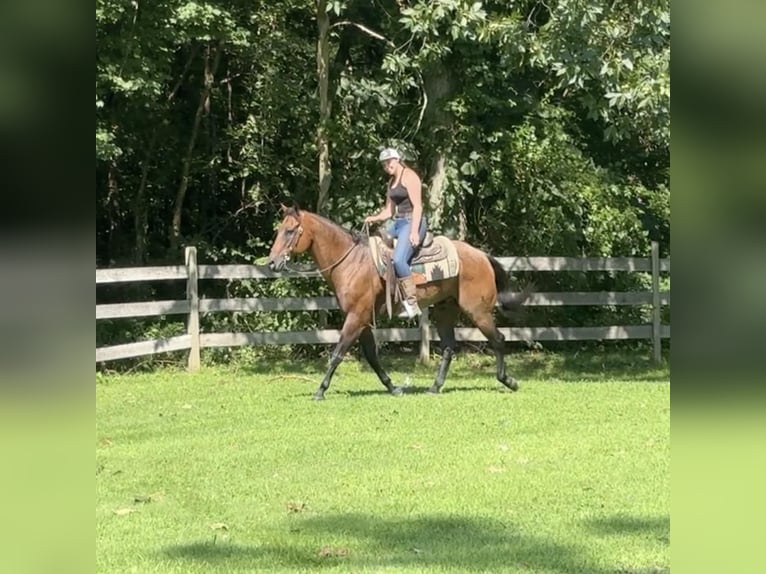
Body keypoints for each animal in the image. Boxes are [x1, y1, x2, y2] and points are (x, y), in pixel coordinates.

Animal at [268, 206, 532, 400]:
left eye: (290, 231)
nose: (272, 262)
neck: (352, 262)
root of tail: (482, 255)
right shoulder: (364, 320)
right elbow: (372, 356)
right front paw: (393, 387)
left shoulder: (356, 317)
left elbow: (337, 353)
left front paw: (320, 391)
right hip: (445, 310)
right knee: (449, 347)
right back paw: (435, 387)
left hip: (478, 311)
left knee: (498, 340)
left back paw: (508, 381)